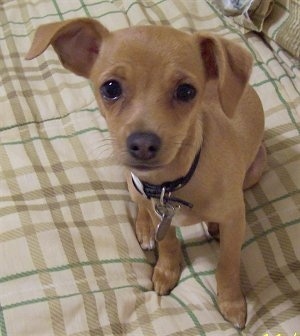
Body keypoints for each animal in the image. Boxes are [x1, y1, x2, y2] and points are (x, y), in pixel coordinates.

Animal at [25, 18, 264, 328]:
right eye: (110, 88)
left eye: (186, 91)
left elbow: (228, 263)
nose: (143, 144)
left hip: (255, 171)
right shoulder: (154, 205)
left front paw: (231, 302)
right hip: (131, 183)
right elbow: (170, 242)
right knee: (139, 206)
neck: (170, 185)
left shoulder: (235, 221)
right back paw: (145, 229)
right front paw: (166, 270)